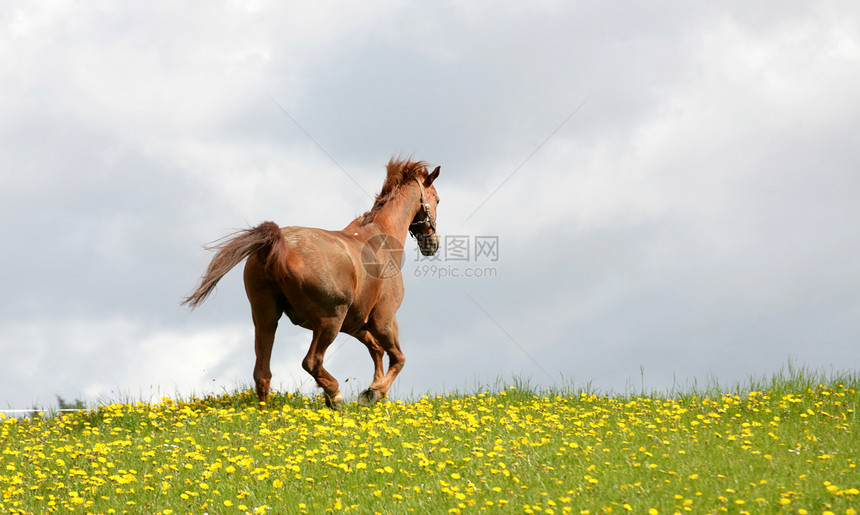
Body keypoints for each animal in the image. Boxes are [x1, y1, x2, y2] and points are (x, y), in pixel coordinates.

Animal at [180, 159, 436, 410]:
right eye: (437, 199)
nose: (432, 244)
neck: (379, 238)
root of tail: (277, 245)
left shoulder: (356, 325)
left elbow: (376, 350)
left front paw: (374, 390)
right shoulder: (383, 319)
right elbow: (398, 358)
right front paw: (373, 392)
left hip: (266, 317)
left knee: (262, 371)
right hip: (329, 322)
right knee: (311, 361)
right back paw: (334, 395)